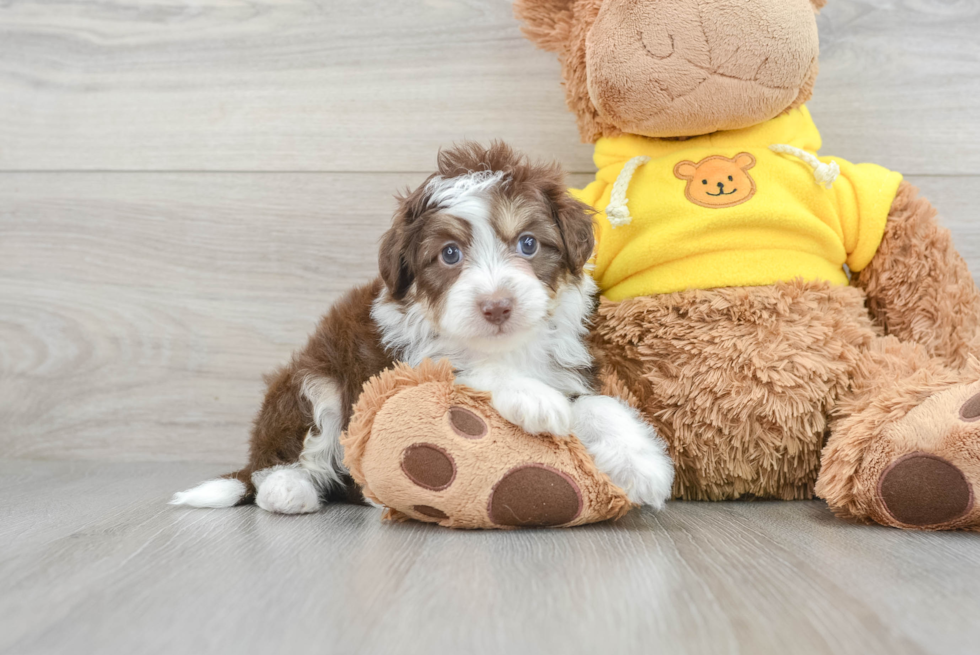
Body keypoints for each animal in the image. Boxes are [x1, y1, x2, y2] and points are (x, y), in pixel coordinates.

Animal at [170, 142, 672, 512]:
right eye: (449, 254)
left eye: (528, 244)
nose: (496, 306)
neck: (501, 344)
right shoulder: (403, 364)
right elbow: (466, 371)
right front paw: (533, 397)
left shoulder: (568, 365)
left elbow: (598, 405)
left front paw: (642, 463)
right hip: (313, 381)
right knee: (284, 454)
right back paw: (288, 490)